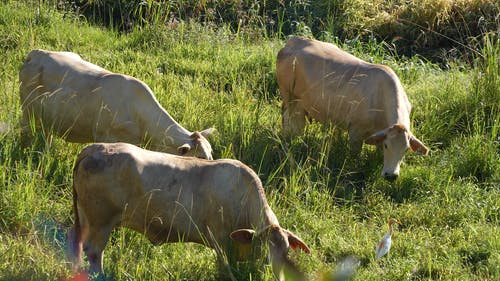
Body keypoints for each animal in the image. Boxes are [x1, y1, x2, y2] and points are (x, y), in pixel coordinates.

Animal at [66, 143, 308, 278]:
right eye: (263, 249)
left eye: (286, 251)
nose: (275, 271)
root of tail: (95, 148)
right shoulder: (220, 240)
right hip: (100, 221)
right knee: (93, 251)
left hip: (84, 217)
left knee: (75, 242)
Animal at [276, 36, 428, 179]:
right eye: (387, 145)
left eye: (406, 149)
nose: (391, 176)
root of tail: (295, 40)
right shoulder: (356, 131)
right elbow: (354, 156)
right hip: (289, 98)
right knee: (290, 122)